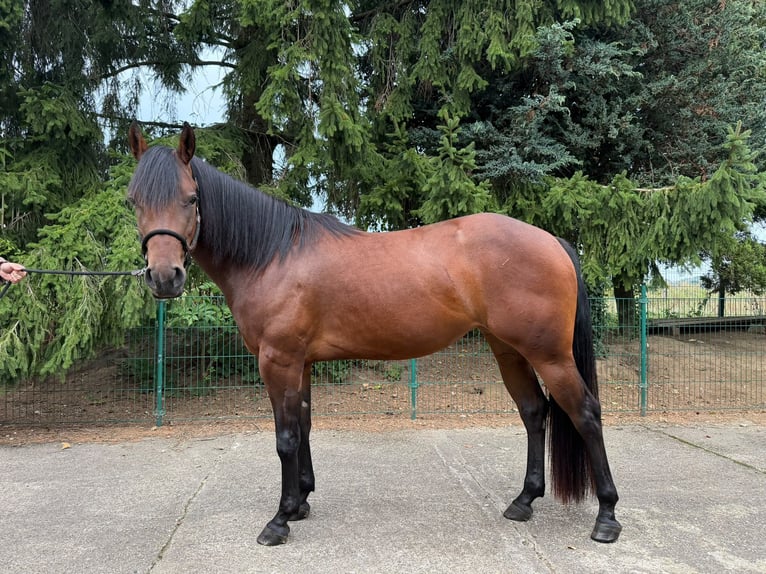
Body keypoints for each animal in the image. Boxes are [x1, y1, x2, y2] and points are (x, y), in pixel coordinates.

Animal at [127, 122, 621, 546]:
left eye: (192, 198)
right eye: (134, 201)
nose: (164, 277)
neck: (273, 255)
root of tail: (551, 240)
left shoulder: (278, 361)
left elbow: (285, 438)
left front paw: (279, 520)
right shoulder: (300, 363)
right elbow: (303, 426)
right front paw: (300, 502)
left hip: (550, 355)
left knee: (585, 414)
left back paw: (606, 517)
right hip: (509, 351)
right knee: (534, 412)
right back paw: (523, 501)